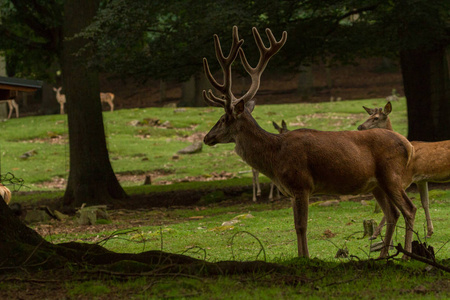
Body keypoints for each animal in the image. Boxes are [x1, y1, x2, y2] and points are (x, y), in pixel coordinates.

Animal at [202, 25, 416, 258]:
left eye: (224, 118)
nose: (206, 137)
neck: (274, 157)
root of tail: (409, 145)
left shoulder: (301, 183)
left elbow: (301, 226)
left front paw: (304, 257)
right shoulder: (292, 191)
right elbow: (296, 226)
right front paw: (300, 256)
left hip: (391, 174)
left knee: (409, 209)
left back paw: (406, 254)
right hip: (376, 184)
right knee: (393, 213)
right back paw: (382, 256)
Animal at [356, 102, 448, 238]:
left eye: (376, 118)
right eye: (369, 115)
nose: (360, 127)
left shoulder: (404, 177)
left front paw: (375, 234)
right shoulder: (421, 180)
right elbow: (425, 202)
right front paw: (430, 232)